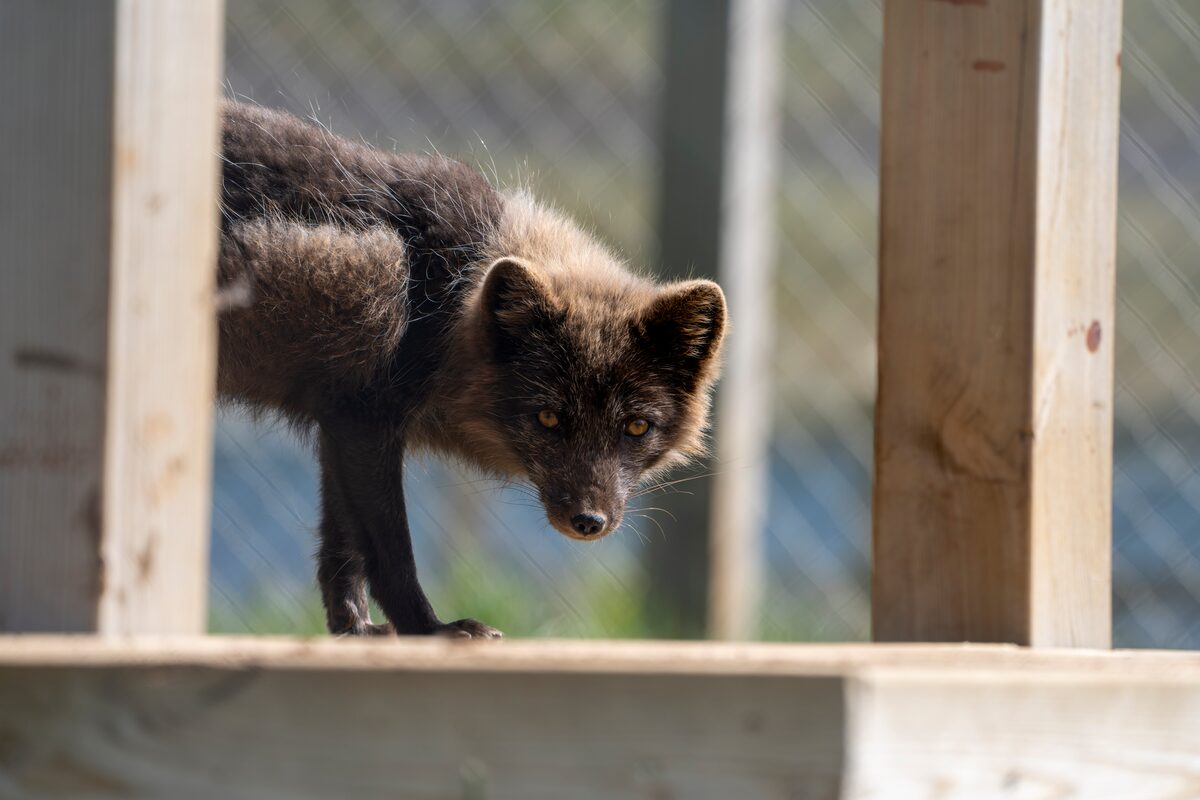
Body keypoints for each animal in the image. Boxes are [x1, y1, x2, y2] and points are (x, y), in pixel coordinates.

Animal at [218, 101, 726, 638]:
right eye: (548, 418)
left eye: (636, 427)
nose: (589, 522)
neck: (441, 296)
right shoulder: (365, 424)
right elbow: (389, 550)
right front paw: (430, 630)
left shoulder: (343, 420)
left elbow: (343, 546)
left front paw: (355, 630)